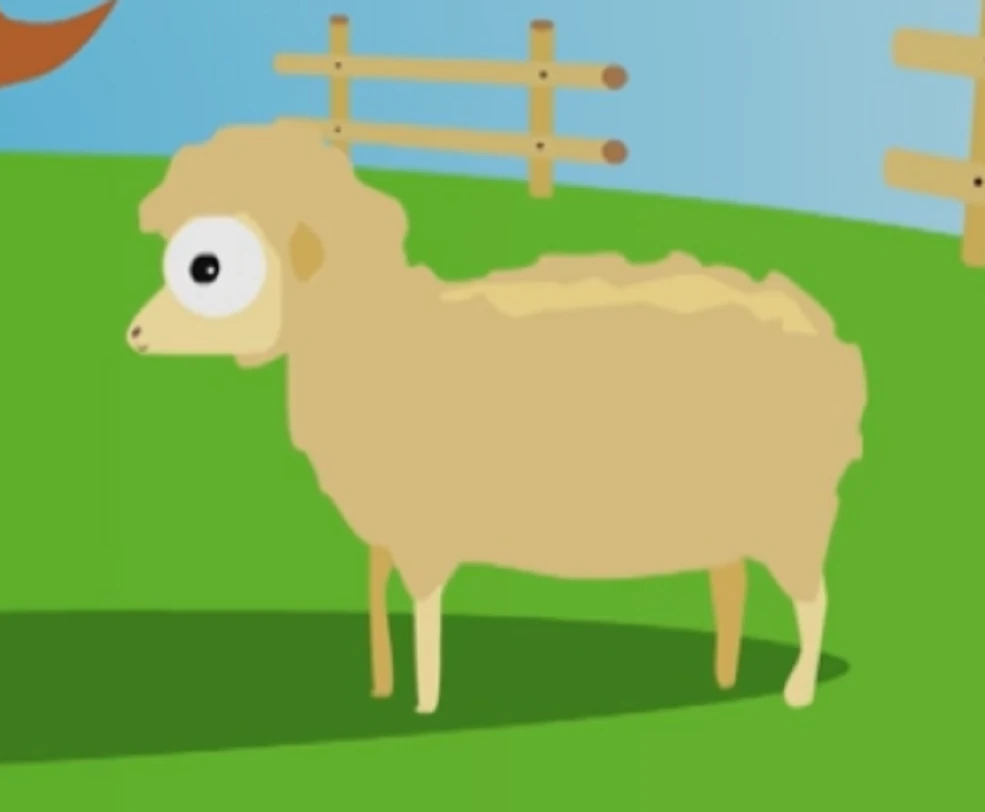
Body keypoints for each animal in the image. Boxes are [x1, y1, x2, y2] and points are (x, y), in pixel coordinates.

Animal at [127, 120, 867, 715]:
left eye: (205, 268)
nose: (132, 334)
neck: (368, 332)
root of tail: (825, 336)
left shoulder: (424, 528)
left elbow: (424, 614)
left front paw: (424, 704)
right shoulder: (385, 524)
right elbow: (375, 596)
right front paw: (380, 688)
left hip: (792, 514)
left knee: (815, 602)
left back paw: (796, 692)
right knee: (734, 589)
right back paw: (724, 677)